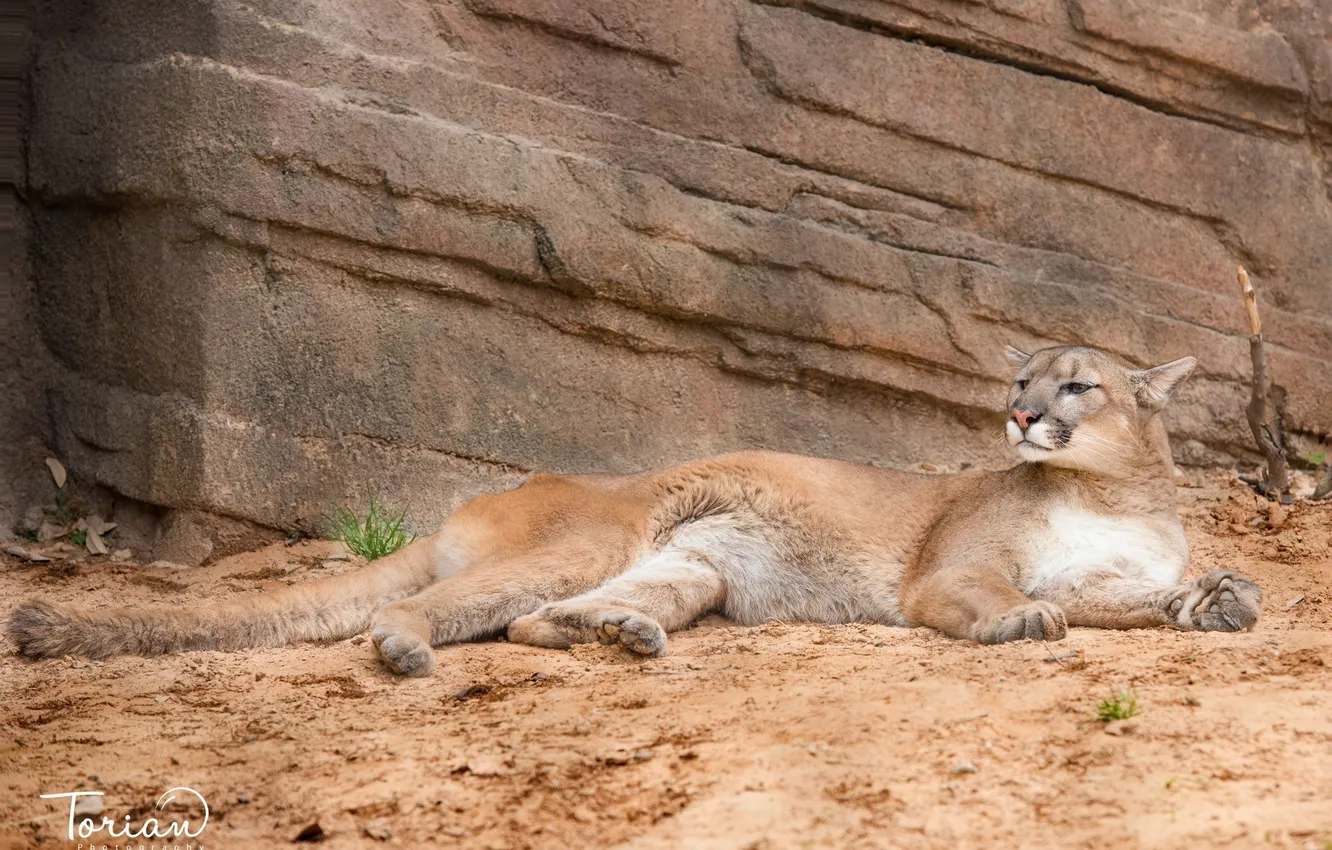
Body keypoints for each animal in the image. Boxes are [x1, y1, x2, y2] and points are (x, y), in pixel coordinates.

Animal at [7, 346, 1257, 679]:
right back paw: (409, 649)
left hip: (690, 563)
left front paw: (1215, 599)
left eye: (1075, 383)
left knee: (528, 620)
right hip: (591, 536)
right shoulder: (946, 572)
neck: (1112, 487)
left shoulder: (1108, 571)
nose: (1016, 412)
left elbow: (1128, 601)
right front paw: (1019, 622)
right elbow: (1013, 599)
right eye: (1024, 379)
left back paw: (620, 634)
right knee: (441, 610)